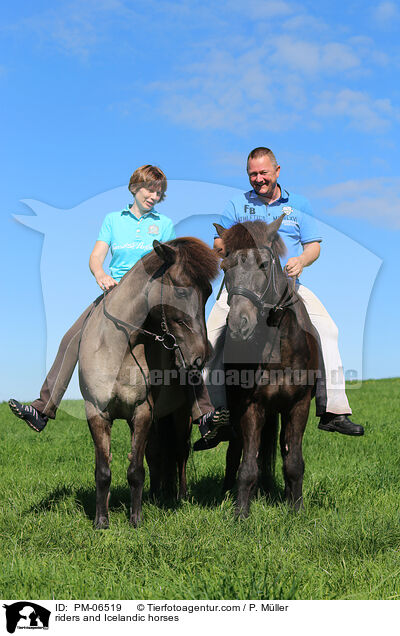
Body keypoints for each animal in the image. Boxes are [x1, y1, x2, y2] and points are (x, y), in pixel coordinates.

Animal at [78, 237, 219, 528]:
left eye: (209, 292)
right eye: (180, 291)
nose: (201, 357)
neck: (119, 349)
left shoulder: (142, 412)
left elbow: (135, 470)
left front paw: (135, 519)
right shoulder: (96, 413)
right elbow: (103, 470)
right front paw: (101, 521)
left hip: (179, 415)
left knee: (179, 453)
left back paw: (179, 495)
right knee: (156, 453)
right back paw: (155, 494)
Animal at [216, 216, 318, 520]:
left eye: (263, 264)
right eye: (225, 266)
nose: (240, 324)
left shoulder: (299, 405)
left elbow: (294, 461)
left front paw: (296, 510)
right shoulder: (252, 406)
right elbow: (248, 465)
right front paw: (240, 514)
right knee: (235, 452)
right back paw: (227, 494)